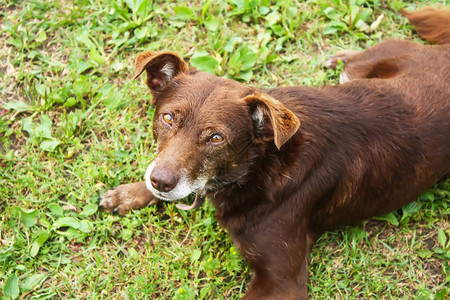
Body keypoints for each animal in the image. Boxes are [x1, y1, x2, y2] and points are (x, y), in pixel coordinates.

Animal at [100, 8, 450, 298]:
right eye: (168, 118)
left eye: (216, 138)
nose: (160, 181)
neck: (258, 167)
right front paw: (130, 194)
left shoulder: (281, 282)